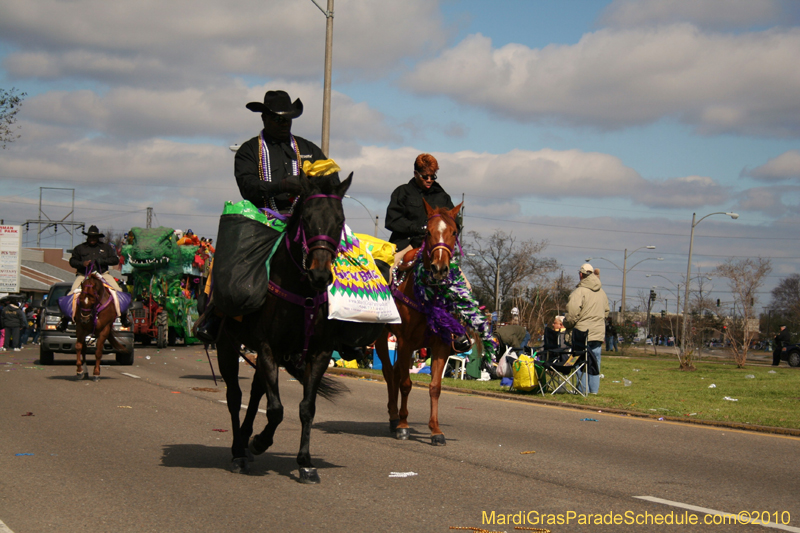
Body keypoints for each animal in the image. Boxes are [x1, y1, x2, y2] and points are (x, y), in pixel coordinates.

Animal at [216, 174, 384, 482]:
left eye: (340, 220)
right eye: (306, 219)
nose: (320, 274)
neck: (301, 292)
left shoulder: (318, 353)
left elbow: (306, 407)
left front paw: (305, 461)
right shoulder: (268, 348)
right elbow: (276, 410)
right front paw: (260, 442)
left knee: (255, 393)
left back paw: (245, 440)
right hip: (226, 345)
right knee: (235, 396)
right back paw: (238, 451)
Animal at [376, 200, 482, 444]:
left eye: (454, 232)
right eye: (428, 232)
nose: (439, 268)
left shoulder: (441, 344)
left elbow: (435, 387)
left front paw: (435, 430)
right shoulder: (405, 342)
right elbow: (406, 384)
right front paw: (403, 426)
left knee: (395, 373)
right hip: (382, 339)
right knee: (389, 373)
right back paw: (394, 417)